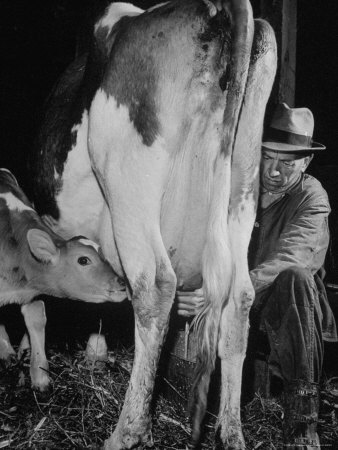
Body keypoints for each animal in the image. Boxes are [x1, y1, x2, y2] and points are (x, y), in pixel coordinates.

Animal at [29, 0, 278, 448]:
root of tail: (211, 8)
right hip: (243, 184)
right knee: (240, 298)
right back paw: (231, 431)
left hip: (130, 184)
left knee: (155, 287)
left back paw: (126, 431)